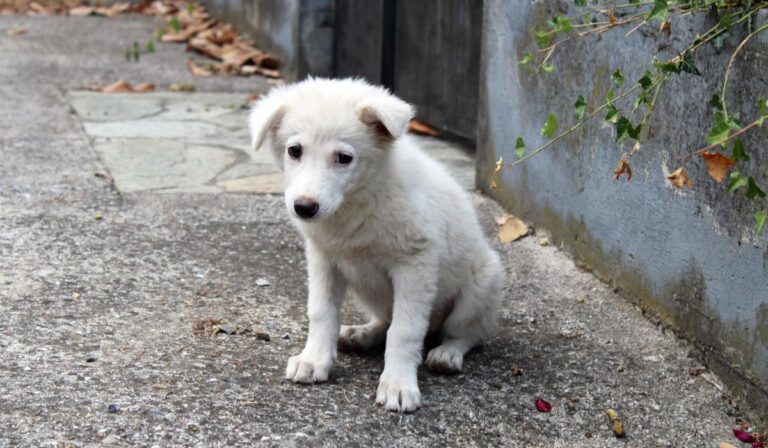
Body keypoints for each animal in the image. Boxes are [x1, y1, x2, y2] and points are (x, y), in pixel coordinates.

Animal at [250, 78, 504, 412]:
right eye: (294, 151)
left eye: (344, 158)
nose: (304, 208)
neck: (357, 200)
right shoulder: (323, 258)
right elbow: (321, 311)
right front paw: (314, 359)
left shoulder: (415, 262)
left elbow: (405, 330)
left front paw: (398, 383)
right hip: (371, 291)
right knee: (385, 320)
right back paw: (362, 334)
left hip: (483, 282)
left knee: (466, 333)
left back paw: (447, 353)